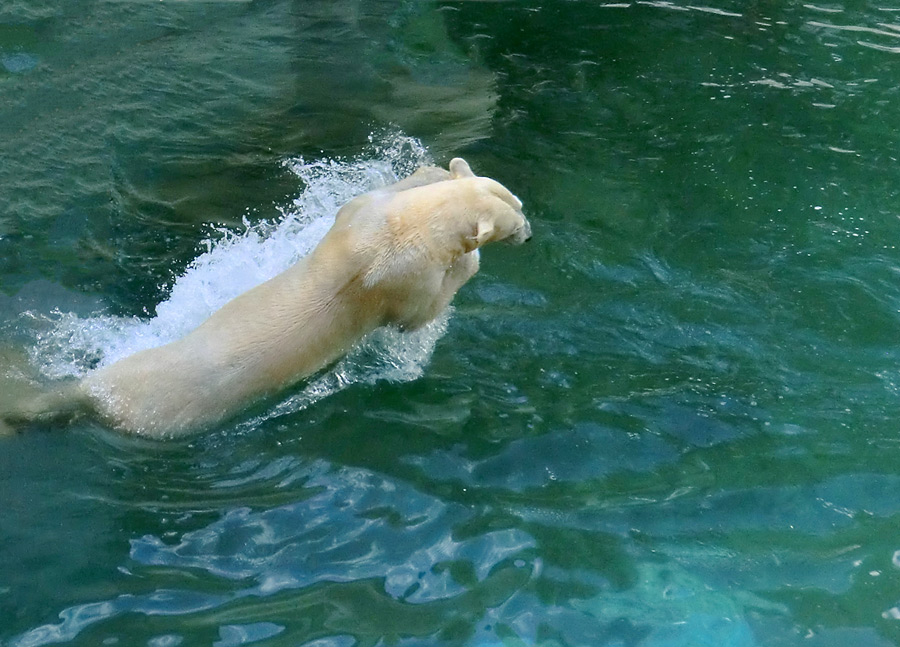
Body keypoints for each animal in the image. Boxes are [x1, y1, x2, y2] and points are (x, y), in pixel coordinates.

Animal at [0, 159, 532, 438]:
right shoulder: (404, 283)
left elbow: (367, 199)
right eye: (516, 221)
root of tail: (94, 392)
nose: (529, 234)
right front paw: (467, 264)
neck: (403, 235)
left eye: (519, 204)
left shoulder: (363, 220)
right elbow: (420, 313)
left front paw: (432, 169)